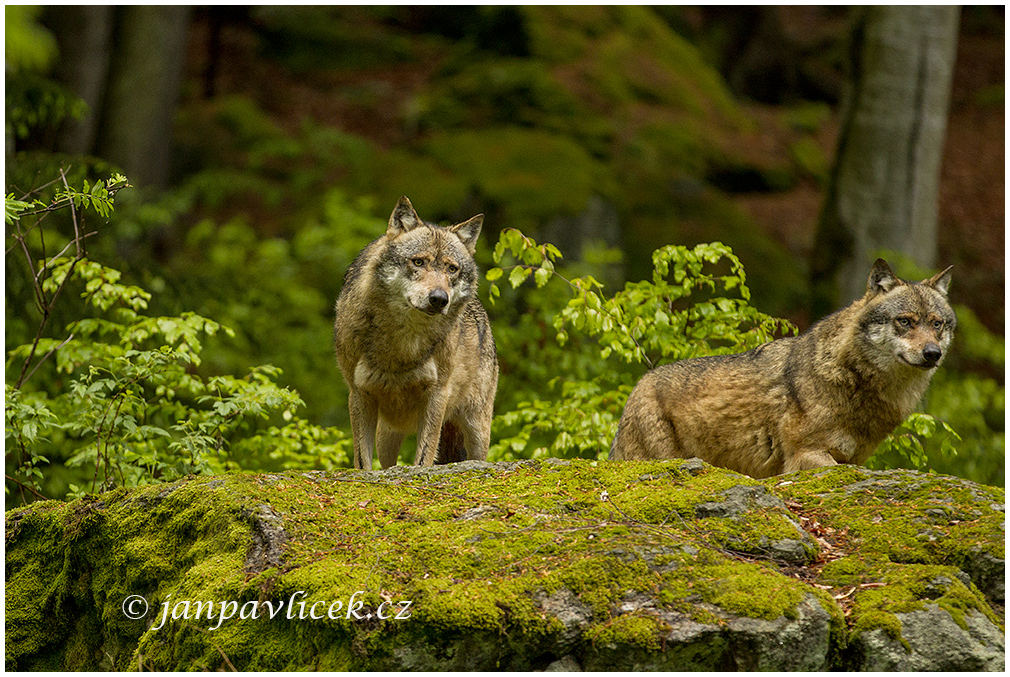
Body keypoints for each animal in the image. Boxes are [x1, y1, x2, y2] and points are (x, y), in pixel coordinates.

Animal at [335, 198, 500, 472]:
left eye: (452, 269)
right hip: (387, 434)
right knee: (388, 462)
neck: (403, 344)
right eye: (418, 262)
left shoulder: (437, 394)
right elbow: (363, 461)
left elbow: (424, 455)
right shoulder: (358, 394)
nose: (439, 299)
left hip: (477, 429)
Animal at [606, 257, 953, 480]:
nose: (932, 354)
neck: (853, 378)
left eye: (937, 324)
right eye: (905, 321)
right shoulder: (806, 456)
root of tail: (639, 384)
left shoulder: (852, 458)